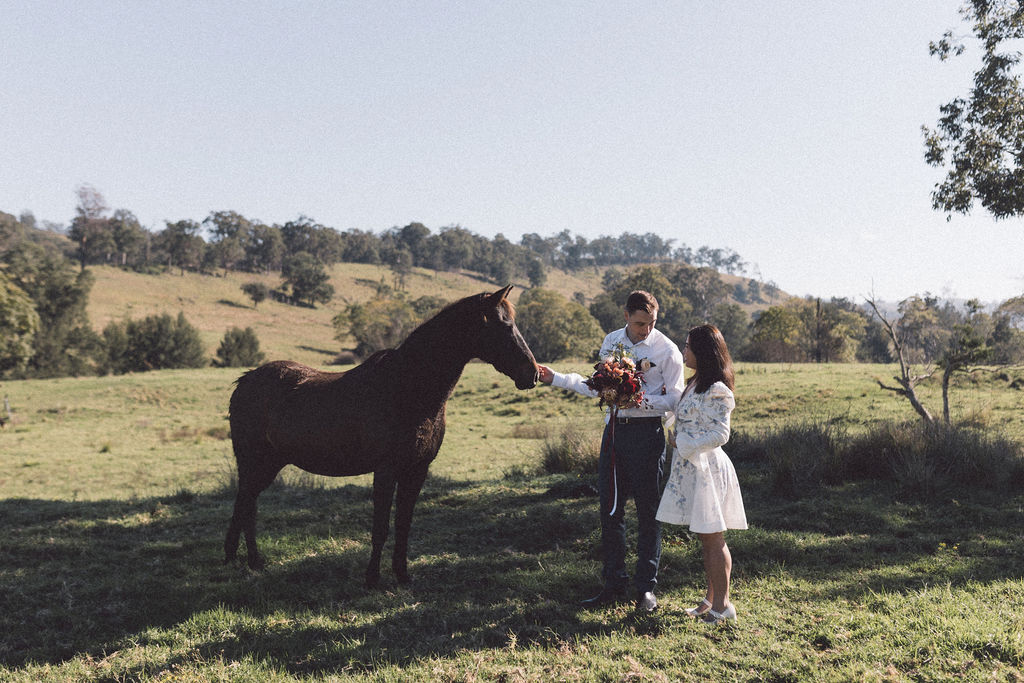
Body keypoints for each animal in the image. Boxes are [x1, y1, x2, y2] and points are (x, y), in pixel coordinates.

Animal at [225, 286, 540, 585]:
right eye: (504, 325)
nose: (533, 374)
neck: (407, 388)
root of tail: (245, 381)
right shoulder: (386, 470)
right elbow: (381, 528)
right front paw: (373, 578)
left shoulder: (417, 470)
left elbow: (403, 525)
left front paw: (402, 574)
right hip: (255, 463)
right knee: (245, 503)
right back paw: (243, 559)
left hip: (268, 465)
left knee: (247, 503)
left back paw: (248, 560)